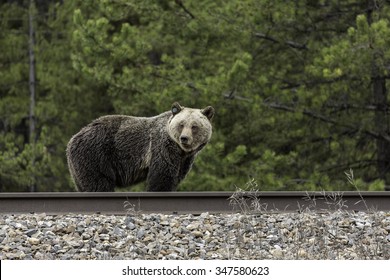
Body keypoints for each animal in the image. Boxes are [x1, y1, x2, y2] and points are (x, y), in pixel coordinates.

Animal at [65, 101, 215, 191]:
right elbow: (161, 176)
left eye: (194, 126)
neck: (180, 150)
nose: (184, 138)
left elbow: (176, 177)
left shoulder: (184, 160)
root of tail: (73, 138)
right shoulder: (161, 148)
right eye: (181, 124)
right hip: (95, 154)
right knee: (98, 183)